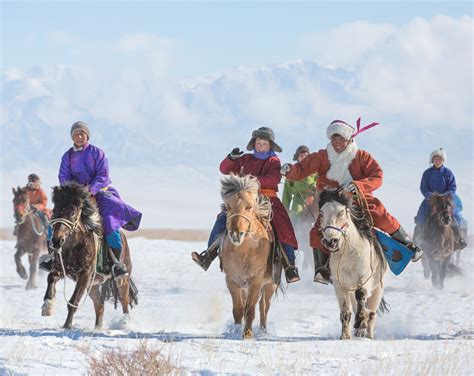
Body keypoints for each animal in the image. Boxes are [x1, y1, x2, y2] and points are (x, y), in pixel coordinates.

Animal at [40, 182, 138, 328]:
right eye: (55, 211)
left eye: (72, 213)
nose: (57, 241)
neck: (74, 245)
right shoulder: (60, 268)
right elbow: (50, 278)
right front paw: (47, 307)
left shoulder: (85, 275)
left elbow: (73, 301)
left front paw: (67, 326)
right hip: (93, 285)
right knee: (100, 304)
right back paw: (97, 328)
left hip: (122, 279)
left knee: (124, 301)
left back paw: (125, 323)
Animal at [220, 175, 280, 340]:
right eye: (228, 207)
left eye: (249, 207)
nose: (236, 234)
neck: (244, 252)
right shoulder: (232, 281)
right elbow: (238, 310)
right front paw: (235, 331)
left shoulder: (255, 281)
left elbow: (250, 309)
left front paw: (247, 333)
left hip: (270, 285)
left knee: (264, 306)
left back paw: (263, 330)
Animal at [318, 188, 388, 340]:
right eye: (321, 213)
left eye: (341, 212)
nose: (330, 241)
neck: (349, 254)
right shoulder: (340, 286)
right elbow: (346, 312)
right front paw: (345, 336)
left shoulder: (364, 279)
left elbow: (361, 295)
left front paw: (360, 322)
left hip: (378, 289)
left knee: (372, 313)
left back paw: (367, 334)